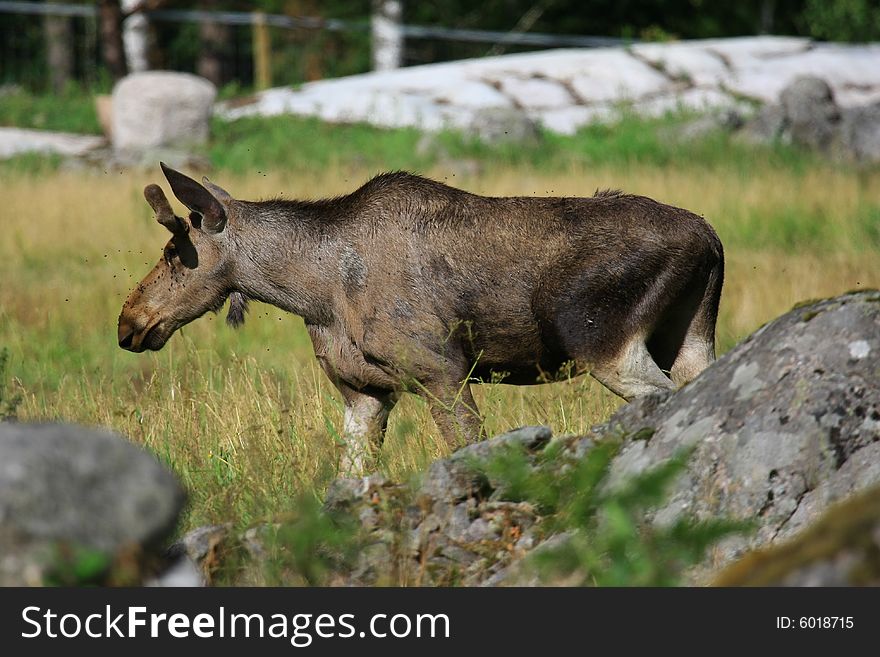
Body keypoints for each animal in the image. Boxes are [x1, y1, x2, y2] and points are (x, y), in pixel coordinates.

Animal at [118, 163, 720, 472]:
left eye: (174, 252)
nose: (129, 322)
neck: (315, 294)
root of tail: (712, 241)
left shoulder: (441, 371)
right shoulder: (365, 394)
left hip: (604, 342)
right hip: (691, 338)